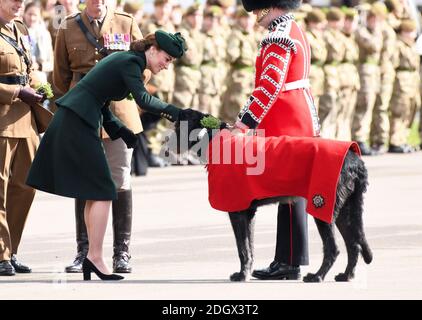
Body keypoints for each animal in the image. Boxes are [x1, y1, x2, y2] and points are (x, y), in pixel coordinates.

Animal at [175, 109, 372, 282]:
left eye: (180, 121)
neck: (217, 141)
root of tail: (355, 160)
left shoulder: (237, 212)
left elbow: (242, 248)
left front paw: (241, 276)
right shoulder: (248, 213)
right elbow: (249, 247)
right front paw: (246, 272)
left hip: (323, 207)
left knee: (333, 248)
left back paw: (317, 276)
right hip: (344, 211)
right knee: (353, 245)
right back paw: (345, 275)